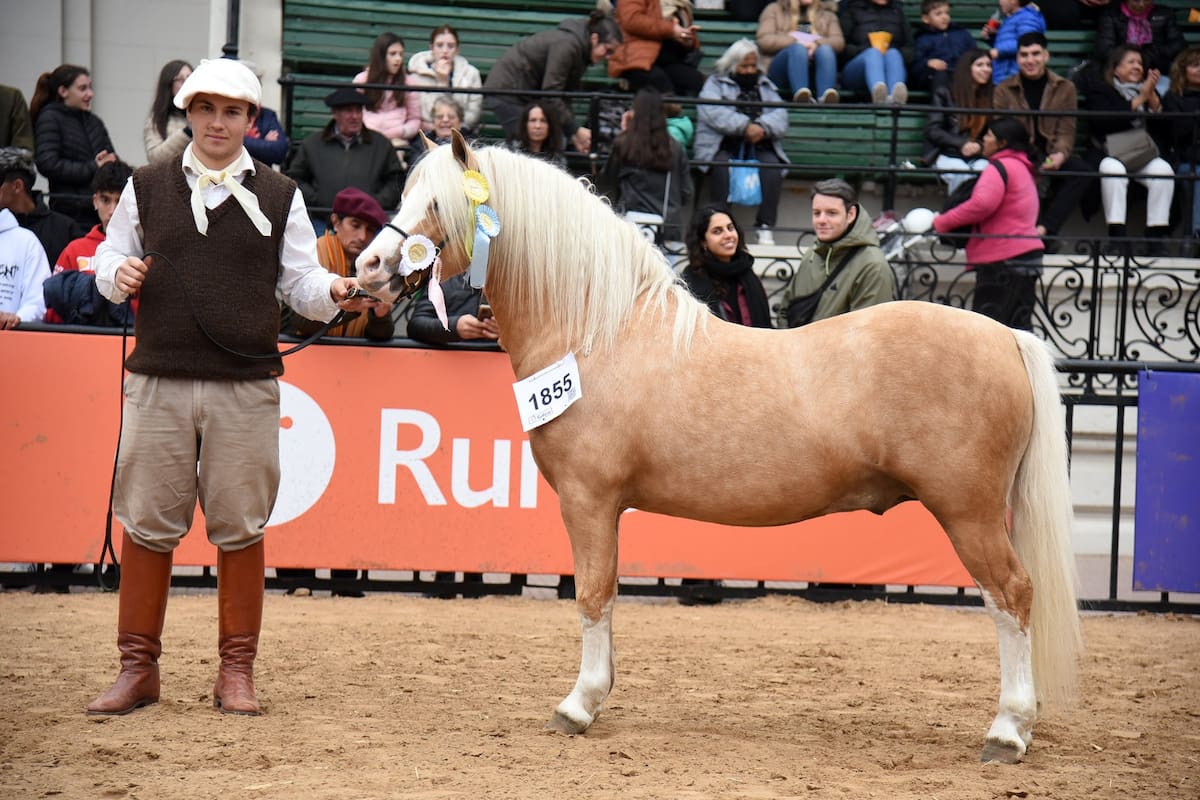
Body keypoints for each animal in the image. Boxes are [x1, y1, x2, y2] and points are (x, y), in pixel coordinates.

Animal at [355, 131, 1082, 764]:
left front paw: (578, 706)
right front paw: (600, 695)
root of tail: (1006, 335)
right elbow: (606, 597)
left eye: (437, 204)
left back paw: (1008, 731)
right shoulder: (607, 508)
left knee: (1012, 596)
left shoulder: (589, 501)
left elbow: (591, 595)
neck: (597, 332)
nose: (369, 267)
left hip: (970, 513)